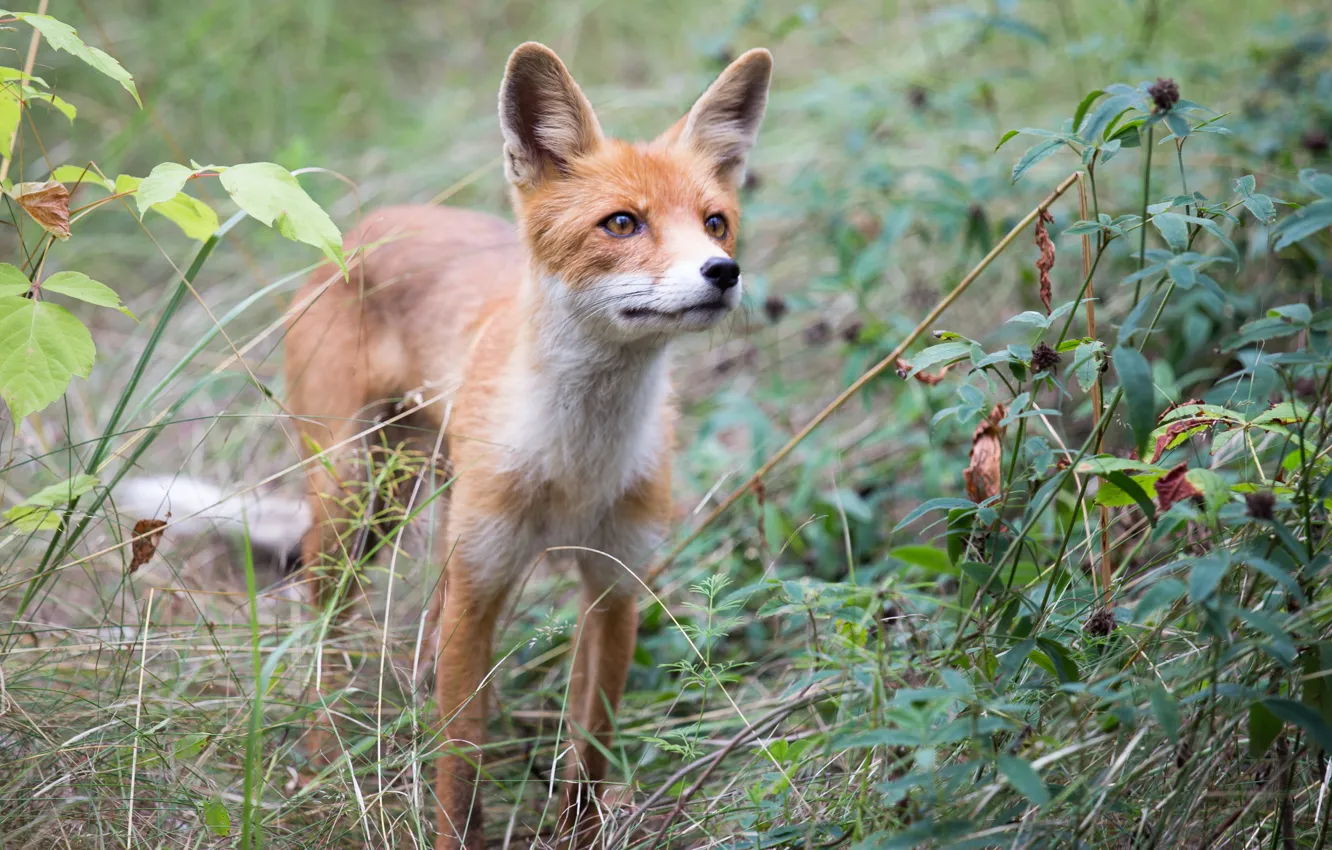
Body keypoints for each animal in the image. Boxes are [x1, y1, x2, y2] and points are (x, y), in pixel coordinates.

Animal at [282, 42, 772, 849]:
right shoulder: (481, 593)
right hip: (356, 496)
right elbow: (458, 769)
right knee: (324, 626)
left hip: (421, 499)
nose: (723, 273)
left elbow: (588, 756)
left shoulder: (614, 586)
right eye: (622, 223)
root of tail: (363, 225)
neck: (576, 464)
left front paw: (576, 833)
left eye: (716, 223)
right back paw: (319, 760)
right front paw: (456, 832)